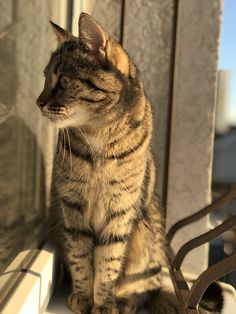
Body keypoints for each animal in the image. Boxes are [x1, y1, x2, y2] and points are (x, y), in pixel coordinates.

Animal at [36, 12, 223, 314]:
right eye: (44, 78)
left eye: (63, 80)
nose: (38, 102)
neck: (99, 136)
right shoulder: (71, 206)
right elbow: (80, 256)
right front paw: (83, 296)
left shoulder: (119, 211)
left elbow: (108, 263)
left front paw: (103, 302)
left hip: (144, 233)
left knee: (146, 288)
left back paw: (124, 300)